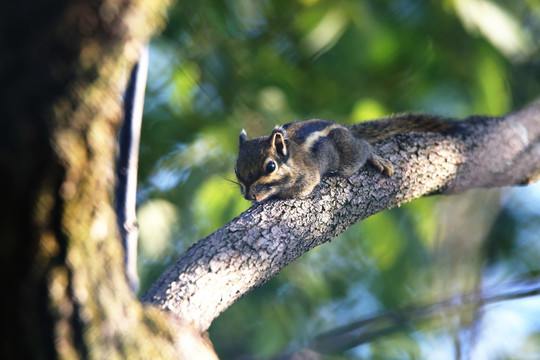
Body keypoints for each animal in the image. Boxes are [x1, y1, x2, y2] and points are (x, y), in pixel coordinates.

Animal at [234, 114, 454, 201]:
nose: (249, 196)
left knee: (364, 147)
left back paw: (375, 158)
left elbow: (299, 190)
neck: (291, 158)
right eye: (235, 169)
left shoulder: (308, 176)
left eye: (270, 167)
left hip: (349, 155)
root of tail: (347, 130)